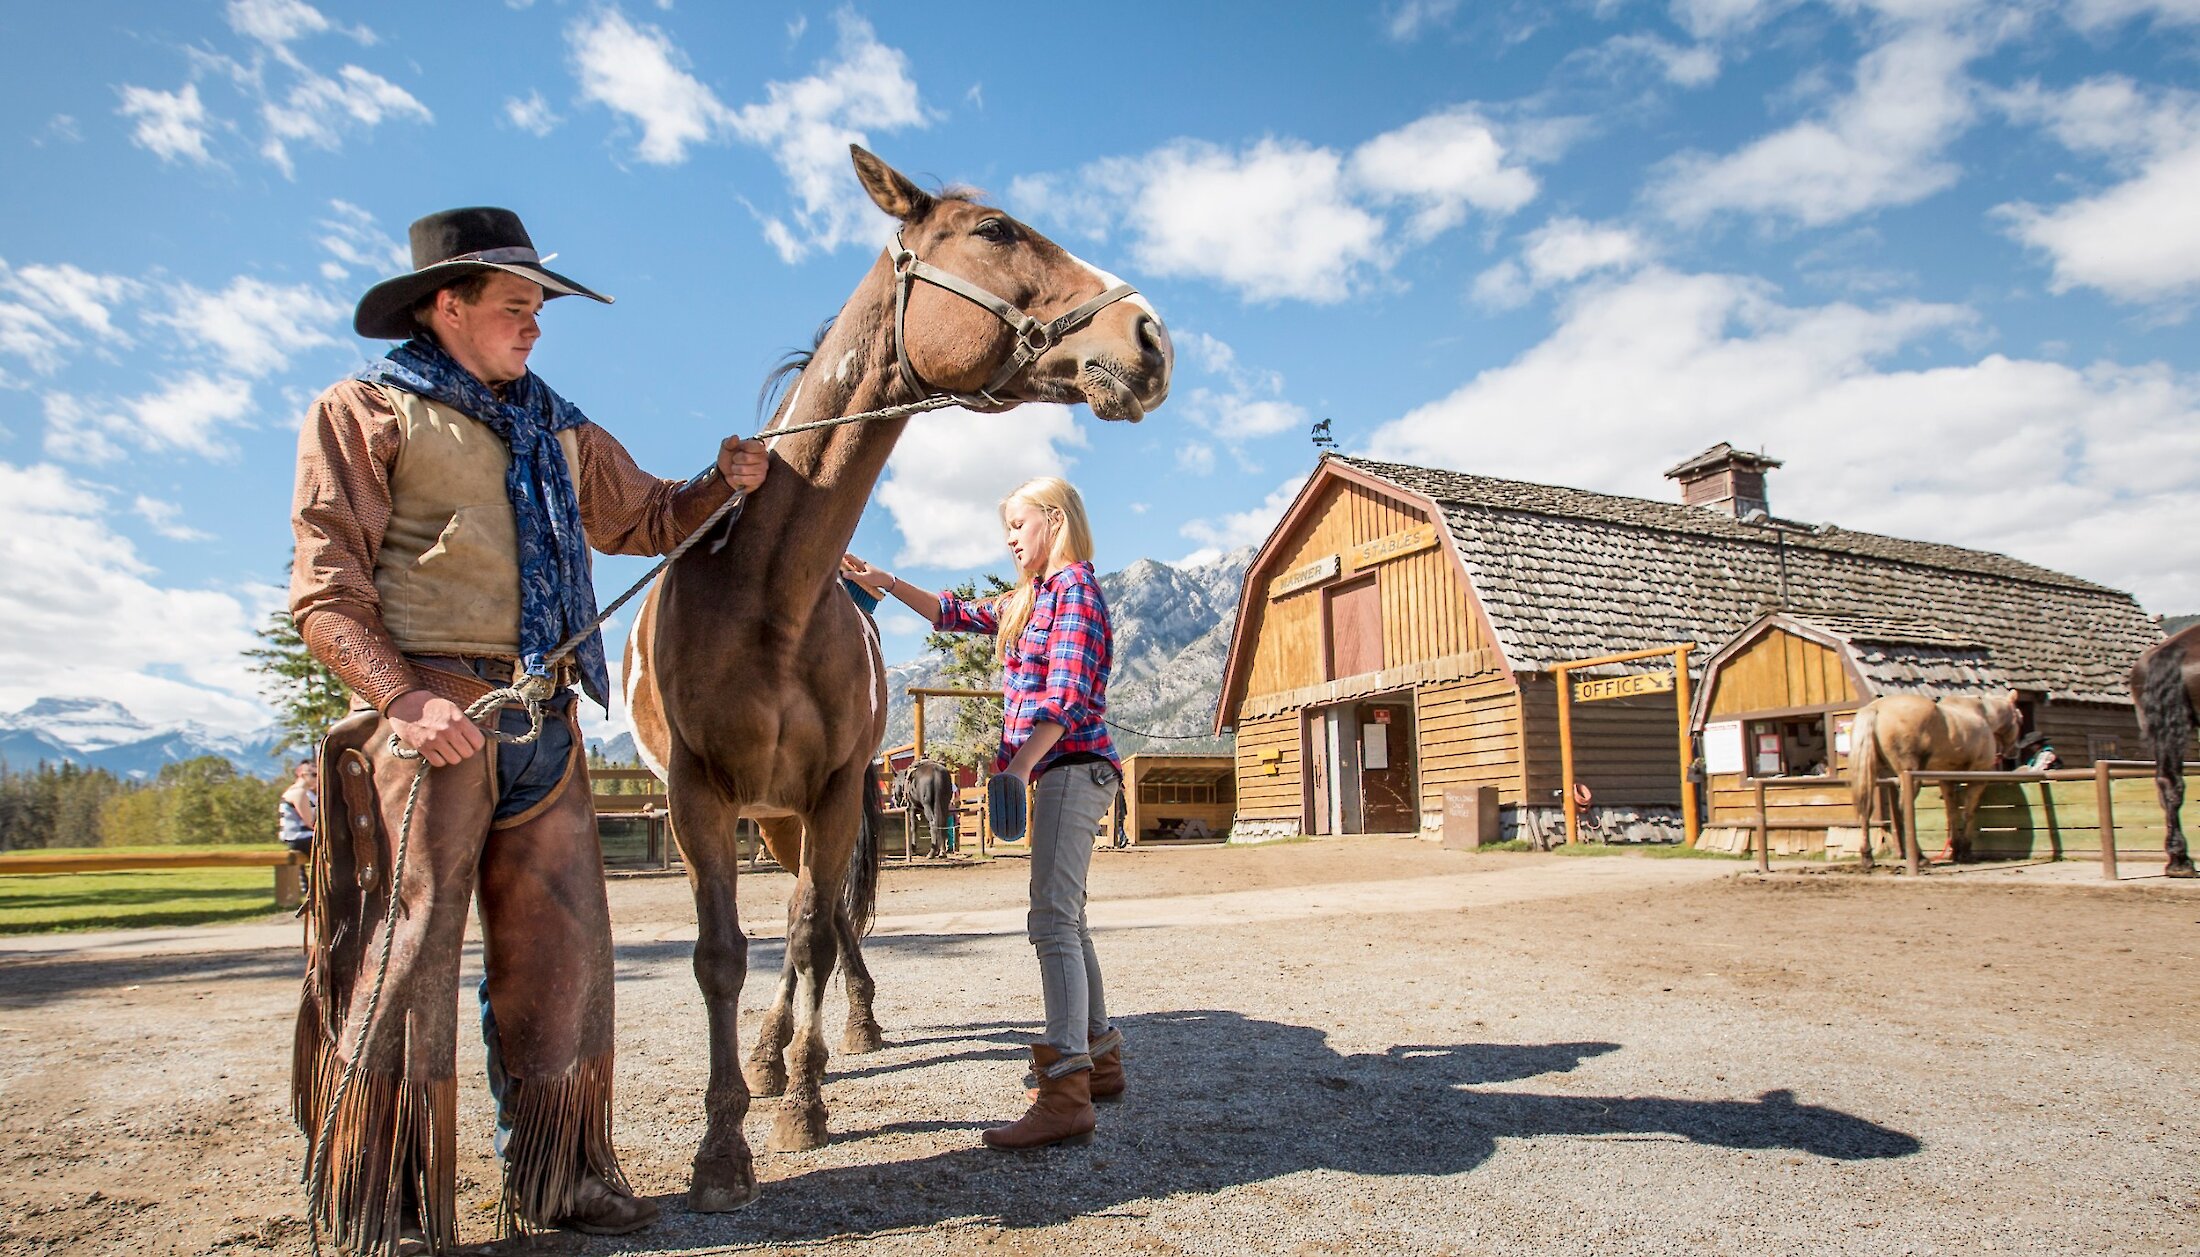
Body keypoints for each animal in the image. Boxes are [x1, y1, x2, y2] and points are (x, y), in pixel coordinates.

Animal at [624, 145, 1170, 1206]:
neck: (770, 595)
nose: (1150, 336)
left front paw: (801, 1101)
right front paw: (723, 1144)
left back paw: (822, 1036)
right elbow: (719, 955)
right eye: (995, 229)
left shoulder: (837, 790)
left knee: (824, 923)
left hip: (799, 812)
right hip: (768, 813)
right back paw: (771, 1050)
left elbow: (809, 935)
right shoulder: (699, 793)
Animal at [1848, 695, 2015, 871]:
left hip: (1870, 774)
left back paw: (1867, 857)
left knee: (1866, 810)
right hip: (1909, 778)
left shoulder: (1946, 780)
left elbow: (1952, 813)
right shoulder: (1978, 777)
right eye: (2020, 716)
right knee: (1903, 810)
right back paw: (1920, 857)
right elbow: (1969, 812)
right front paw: (1965, 852)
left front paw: (1956, 850)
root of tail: (1875, 708)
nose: (2011, 752)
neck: (1982, 714)